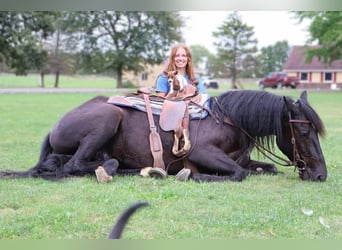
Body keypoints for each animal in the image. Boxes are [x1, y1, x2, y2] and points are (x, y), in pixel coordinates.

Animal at [0, 90, 328, 182]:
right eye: (302, 129)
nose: (320, 174)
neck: (230, 121)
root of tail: (54, 128)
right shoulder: (201, 153)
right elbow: (237, 173)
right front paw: (194, 175)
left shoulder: (244, 159)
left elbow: (263, 167)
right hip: (108, 118)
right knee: (74, 166)